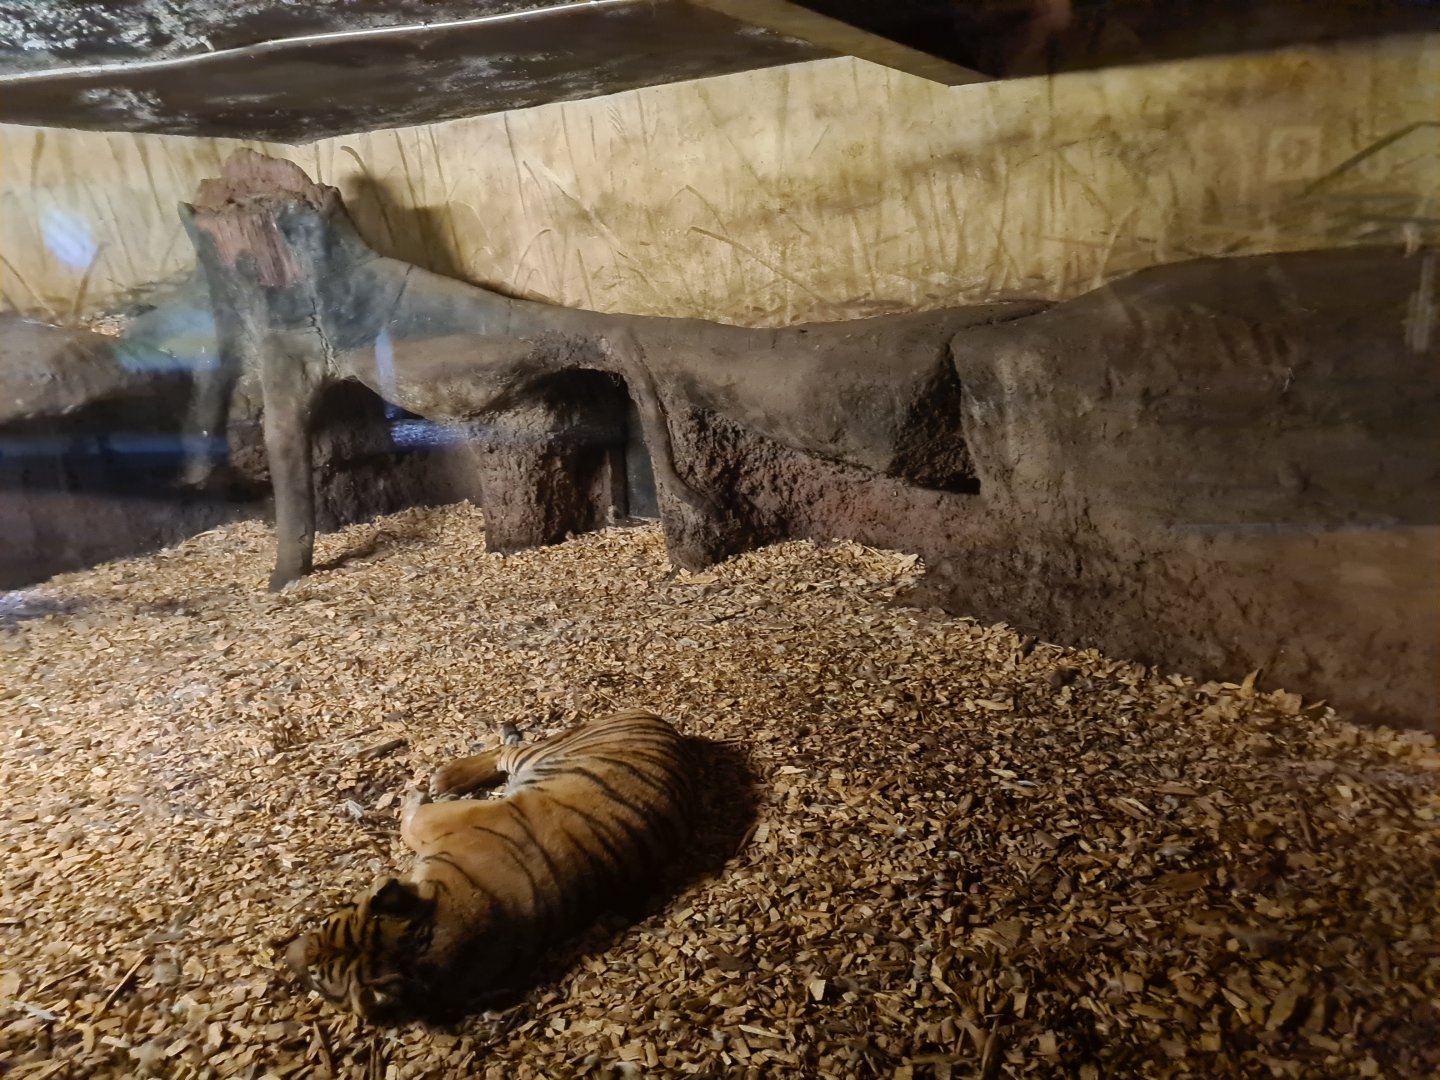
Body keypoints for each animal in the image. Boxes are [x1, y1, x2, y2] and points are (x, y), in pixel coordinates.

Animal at [282, 708, 695, 1021]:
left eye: (316, 979)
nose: (288, 956)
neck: (426, 937)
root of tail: (655, 719)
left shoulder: (435, 825)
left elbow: (410, 819)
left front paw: (417, 795)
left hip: (540, 755)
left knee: (502, 751)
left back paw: (444, 778)